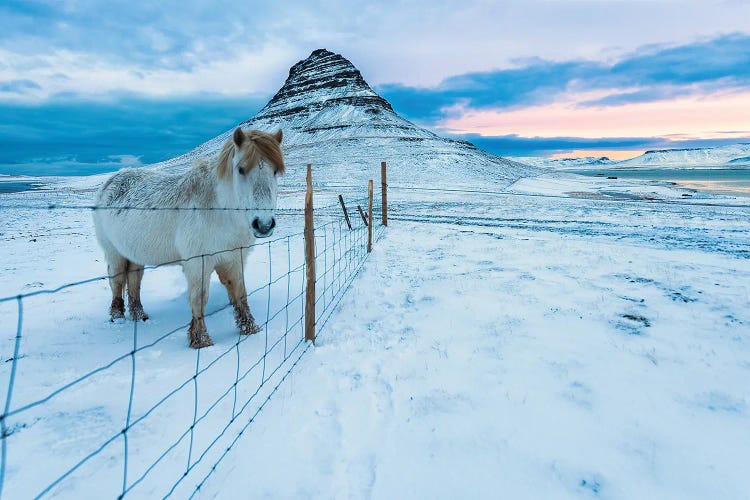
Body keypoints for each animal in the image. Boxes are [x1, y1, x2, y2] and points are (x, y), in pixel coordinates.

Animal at [92, 129, 284, 348]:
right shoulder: (197, 263)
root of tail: (110, 181)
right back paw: (117, 318)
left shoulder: (235, 259)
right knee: (116, 282)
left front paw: (250, 329)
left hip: (134, 254)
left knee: (134, 281)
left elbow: (239, 293)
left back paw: (139, 315)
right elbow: (199, 298)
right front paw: (201, 340)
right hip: (113, 252)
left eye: (275, 171)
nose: (264, 224)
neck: (220, 211)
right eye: (241, 169)